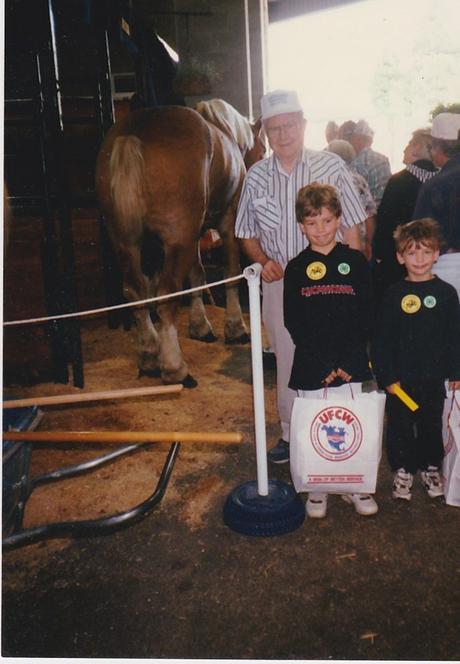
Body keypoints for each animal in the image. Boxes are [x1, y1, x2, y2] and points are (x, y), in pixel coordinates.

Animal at [95, 100, 264, 390]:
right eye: (263, 149)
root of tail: (133, 134)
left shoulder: (193, 235)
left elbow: (197, 274)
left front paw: (200, 326)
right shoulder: (228, 222)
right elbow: (231, 272)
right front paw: (235, 328)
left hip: (127, 243)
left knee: (136, 292)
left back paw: (150, 355)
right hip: (177, 240)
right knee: (166, 294)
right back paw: (176, 368)